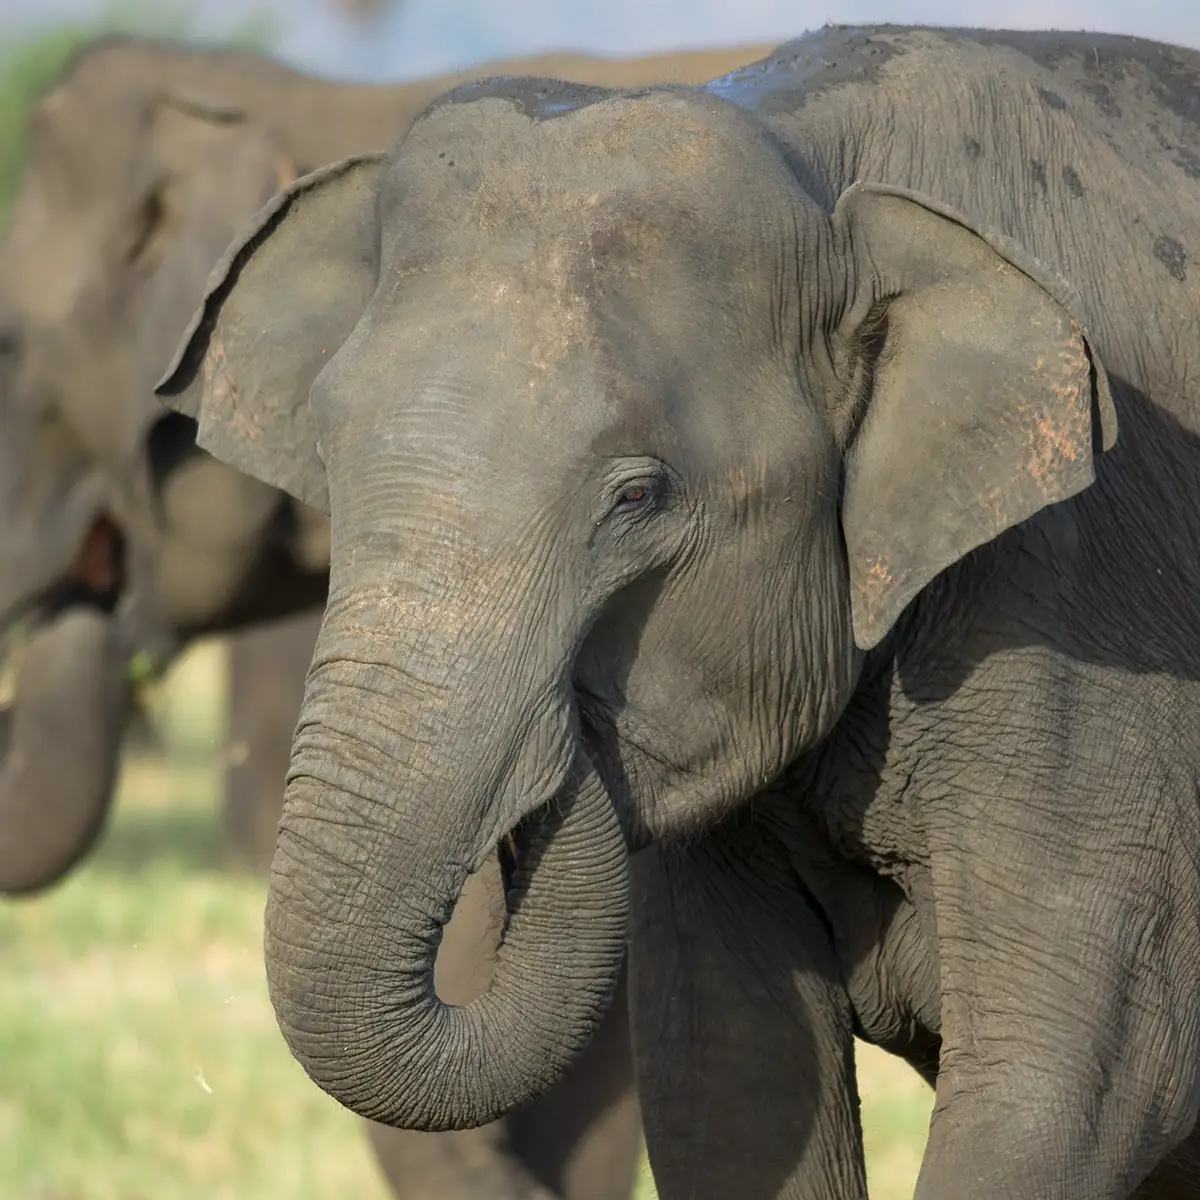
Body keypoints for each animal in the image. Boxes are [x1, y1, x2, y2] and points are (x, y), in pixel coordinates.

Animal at [158, 23, 1200, 1200]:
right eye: (326, 454)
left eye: (636, 497)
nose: (565, 746)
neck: (817, 159)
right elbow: (732, 1078)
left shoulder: (1082, 604)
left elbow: (1082, 1085)